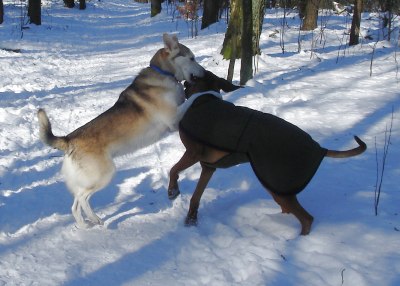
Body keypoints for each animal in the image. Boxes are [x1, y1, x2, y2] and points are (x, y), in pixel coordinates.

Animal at [37, 33, 205, 228]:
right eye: (191, 58)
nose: (204, 73)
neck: (164, 74)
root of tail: (69, 139)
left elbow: (190, 97)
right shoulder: (173, 118)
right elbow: (196, 96)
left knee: (75, 204)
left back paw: (85, 223)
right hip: (104, 175)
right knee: (82, 198)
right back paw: (94, 219)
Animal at [167, 70, 368, 235]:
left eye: (195, 76)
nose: (184, 79)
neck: (204, 98)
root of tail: (320, 148)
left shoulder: (193, 153)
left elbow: (173, 170)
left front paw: (172, 190)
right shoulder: (208, 166)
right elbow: (195, 197)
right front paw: (191, 220)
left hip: (277, 185)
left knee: (307, 219)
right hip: (277, 188)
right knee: (290, 211)